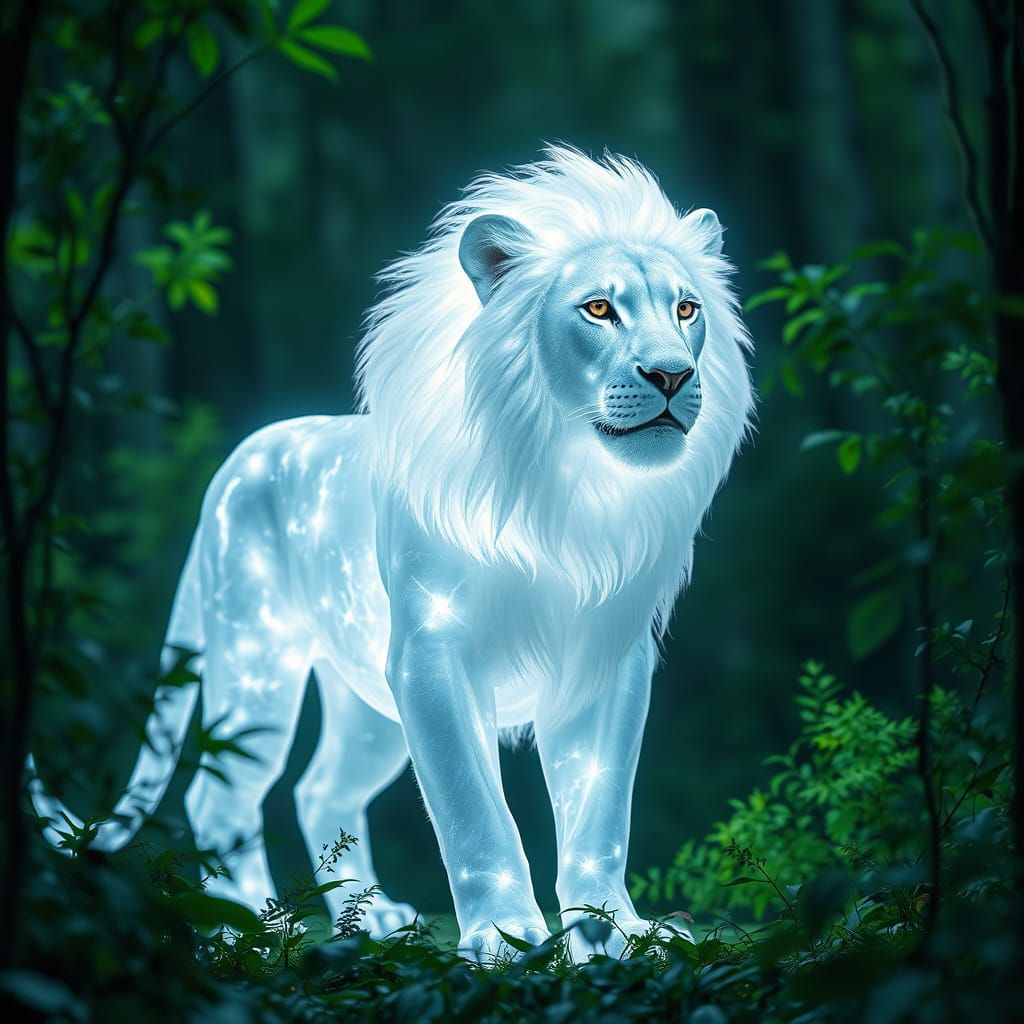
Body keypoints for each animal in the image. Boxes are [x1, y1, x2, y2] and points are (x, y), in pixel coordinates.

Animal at [31, 146, 754, 959]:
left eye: (686, 309)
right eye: (599, 309)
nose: (672, 375)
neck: (573, 490)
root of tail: (240, 457)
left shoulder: (609, 656)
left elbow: (601, 810)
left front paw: (616, 931)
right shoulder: (432, 652)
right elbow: (474, 809)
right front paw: (505, 938)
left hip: (366, 708)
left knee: (319, 788)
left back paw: (370, 916)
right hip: (257, 662)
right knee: (220, 794)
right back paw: (254, 928)